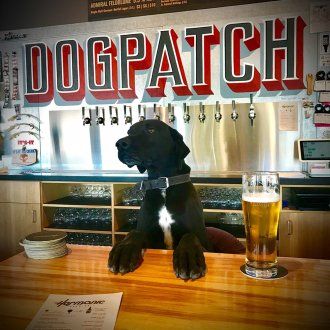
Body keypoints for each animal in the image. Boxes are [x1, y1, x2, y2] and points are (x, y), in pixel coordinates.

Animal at [109, 118, 210, 278]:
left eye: (150, 130)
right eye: (129, 132)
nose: (120, 143)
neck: (163, 184)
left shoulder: (204, 242)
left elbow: (190, 235)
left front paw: (188, 257)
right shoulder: (150, 237)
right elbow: (135, 232)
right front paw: (124, 250)